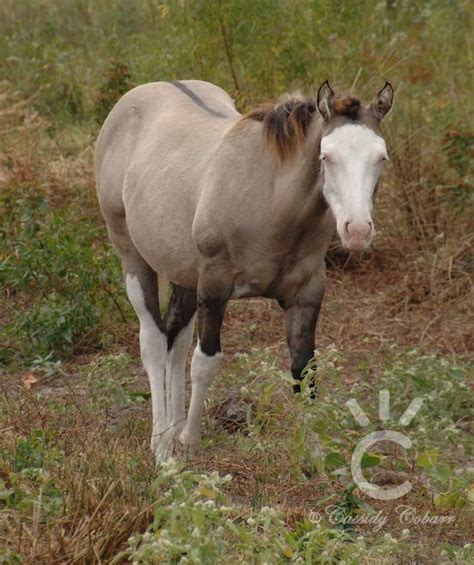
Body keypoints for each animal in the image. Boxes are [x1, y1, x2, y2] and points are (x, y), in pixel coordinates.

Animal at [94, 78, 394, 458]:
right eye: (327, 155)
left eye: (381, 157)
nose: (357, 230)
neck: (271, 200)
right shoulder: (214, 285)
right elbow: (206, 361)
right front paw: (190, 443)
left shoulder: (307, 294)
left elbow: (304, 370)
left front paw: (314, 457)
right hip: (134, 257)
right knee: (154, 341)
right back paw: (161, 444)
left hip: (183, 274)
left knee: (176, 340)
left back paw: (172, 430)